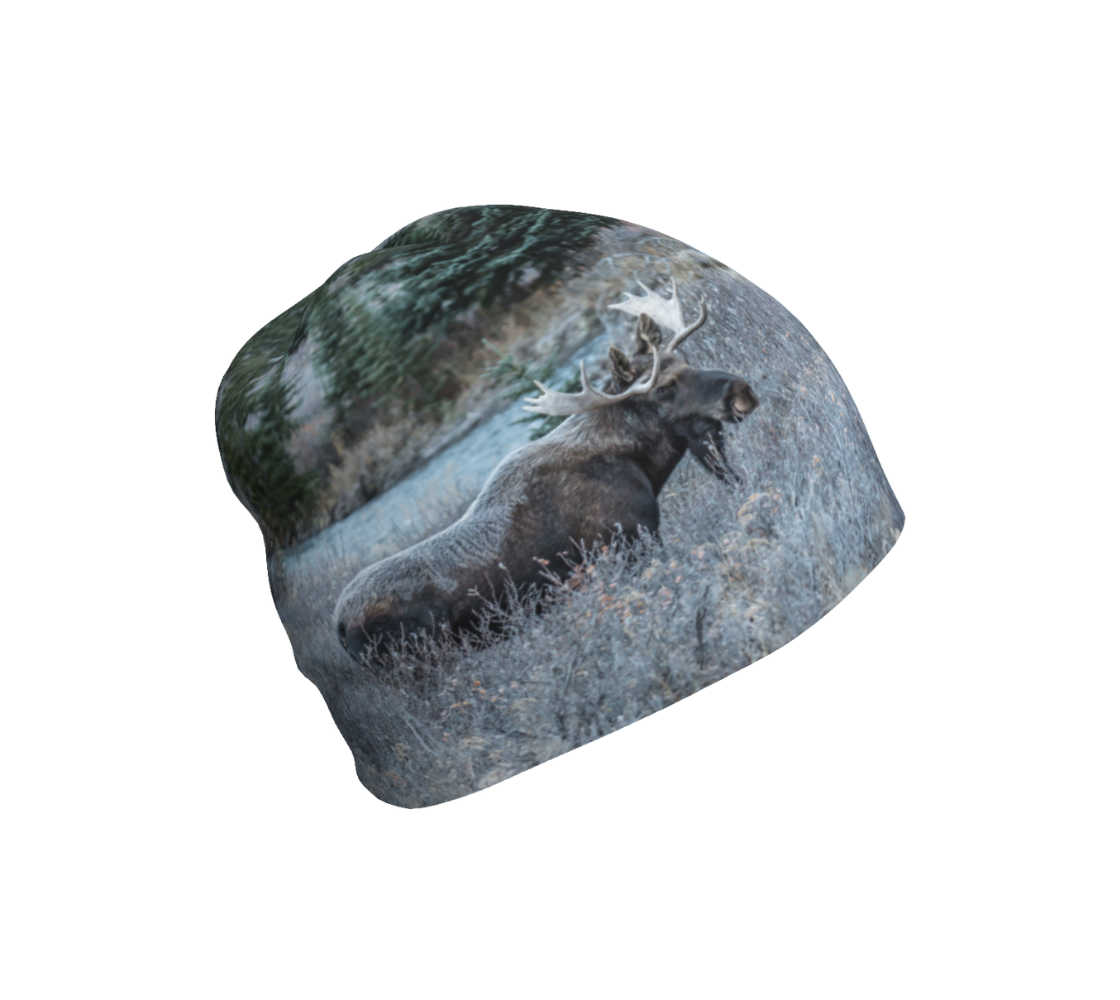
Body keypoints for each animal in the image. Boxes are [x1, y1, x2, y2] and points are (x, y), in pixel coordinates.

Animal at [329, 281, 752, 667]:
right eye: (663, 388)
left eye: (687, 363)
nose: (740, 390)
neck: (643, 462)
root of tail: (340, 625)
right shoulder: (633, 538)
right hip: (423, 660)